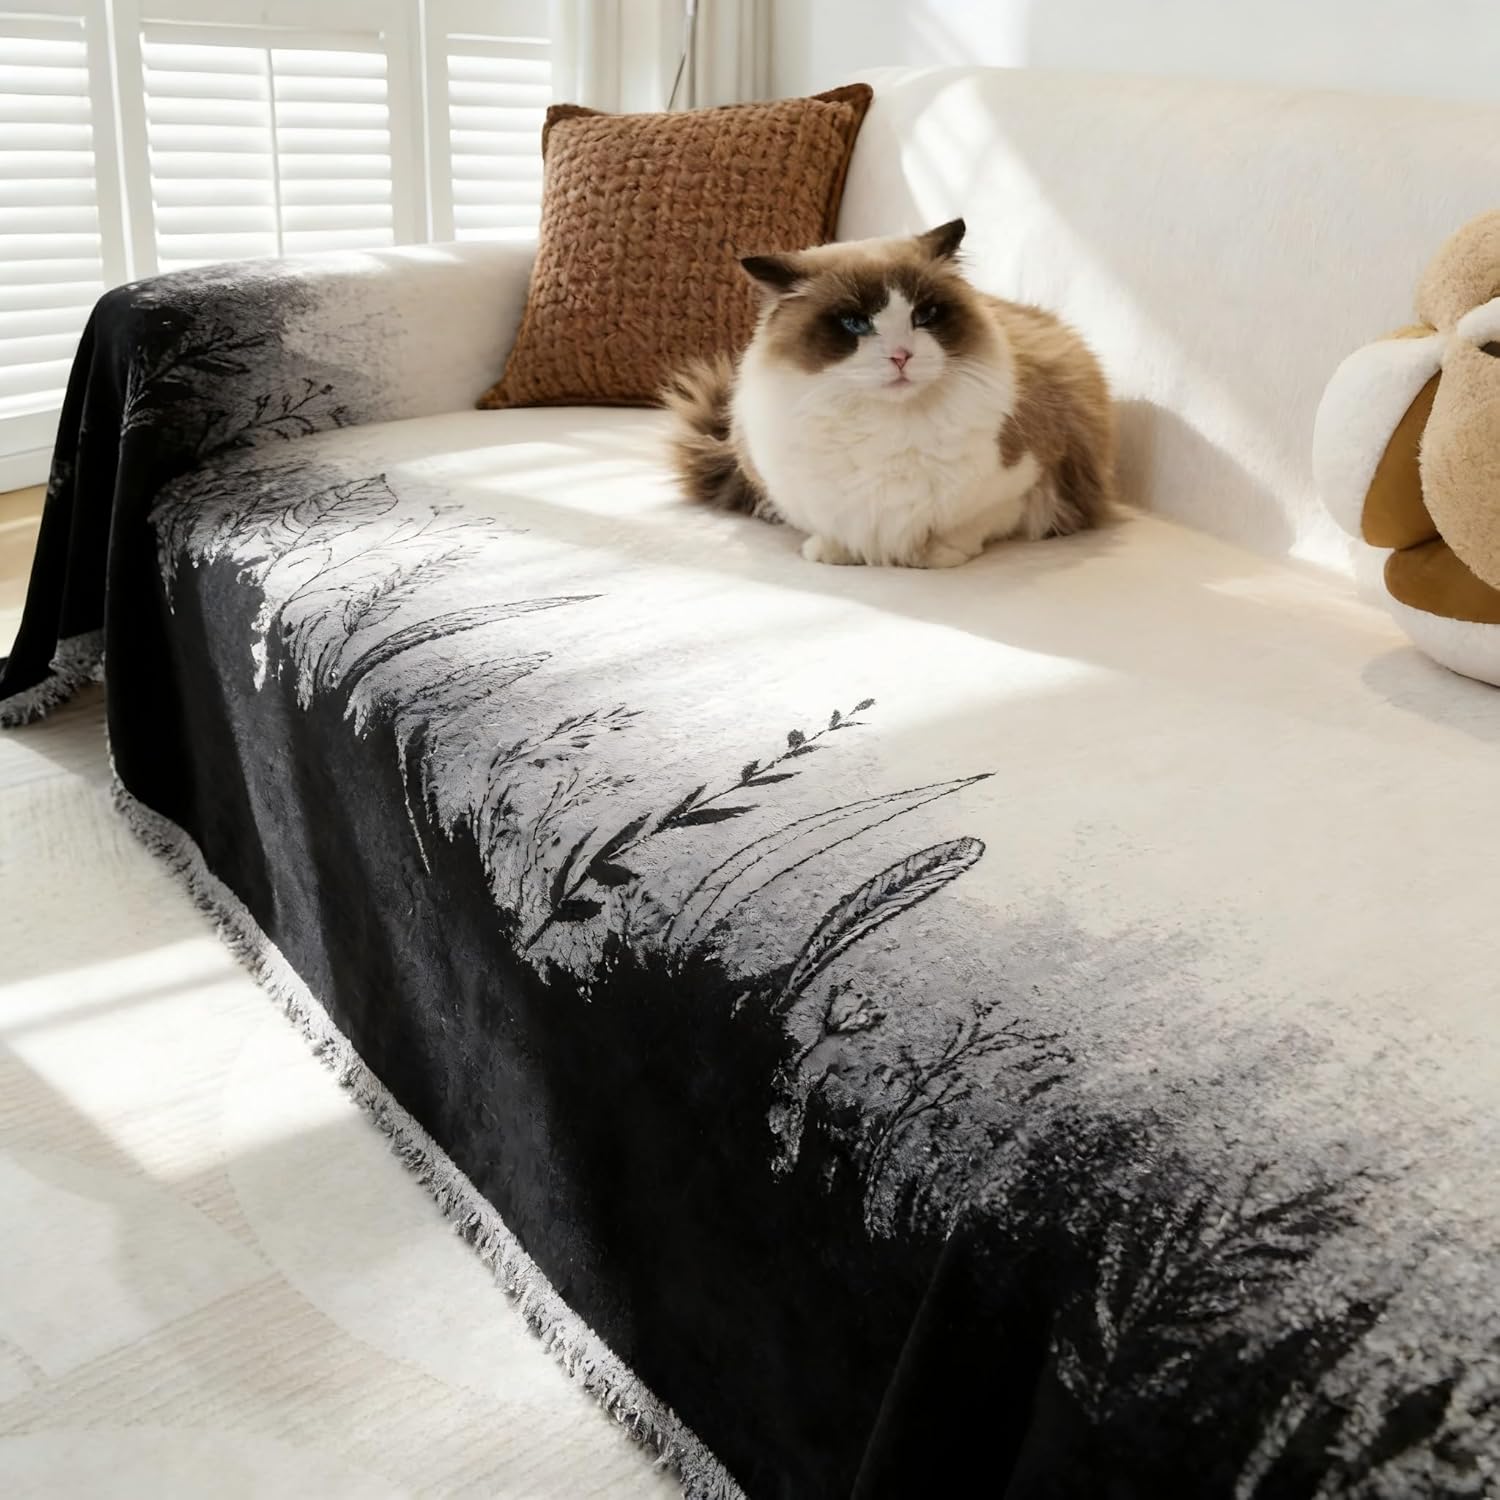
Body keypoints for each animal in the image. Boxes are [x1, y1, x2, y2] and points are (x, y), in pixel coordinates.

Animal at [663, 218, 1117, 568]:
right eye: (854, 323)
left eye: (925, 315)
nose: (902, 356)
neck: (885, 426)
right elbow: (833, 528)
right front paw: (833, 552)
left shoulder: (1021, 483)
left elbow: (968, 527)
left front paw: (936, 555)